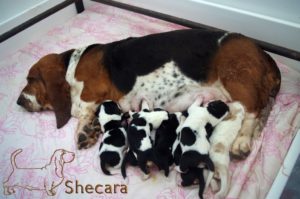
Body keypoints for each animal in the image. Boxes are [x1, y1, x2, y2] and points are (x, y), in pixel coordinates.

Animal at [17, 29, 282, 159]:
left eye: (30, 79)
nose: (19, 101)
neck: (71, 64)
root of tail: (265, 54)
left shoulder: (90, 93)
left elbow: (81, 110)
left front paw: (83, 130)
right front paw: (90, 131)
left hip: (236, 79)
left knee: (251, 111)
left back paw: (242, 141)